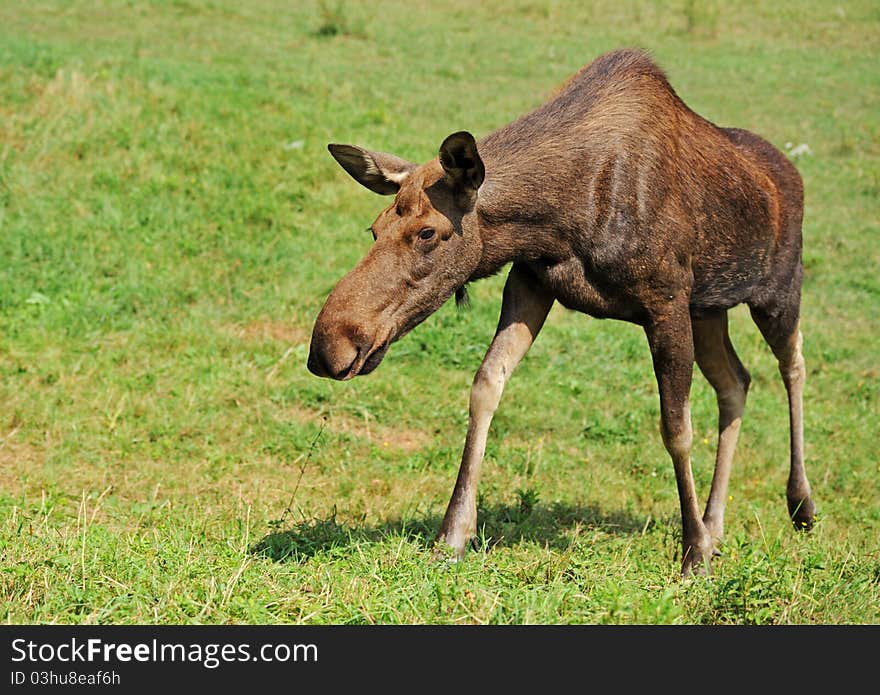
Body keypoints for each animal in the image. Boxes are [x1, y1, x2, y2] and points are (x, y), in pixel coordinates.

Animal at [310, 49, 820, 576]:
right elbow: (485, 386)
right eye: (374, 228)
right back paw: (716, 524)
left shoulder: (666, 299)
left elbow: (676, 427)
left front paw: (693, 552)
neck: (560, 217)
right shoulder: (531, 280)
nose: (329, 345)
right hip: (710, 309)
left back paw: (799, 503)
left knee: (793, 365)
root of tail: (793, 176)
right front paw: (453, 535)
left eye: (428, 231)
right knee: (736, 381)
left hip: (778, 290)